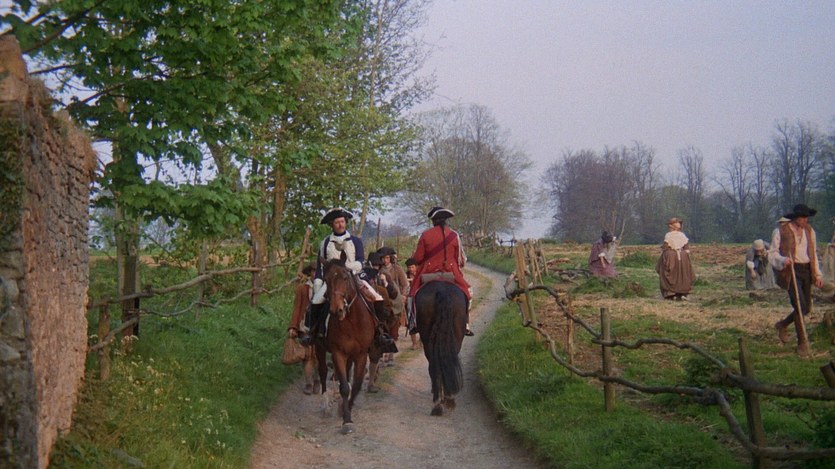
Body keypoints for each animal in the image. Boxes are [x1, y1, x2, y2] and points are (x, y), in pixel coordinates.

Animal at [313, 259, 376, 434]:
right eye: (326, 280)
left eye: (345, 277)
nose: (337, 310)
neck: (352, 322)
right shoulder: (338, 353)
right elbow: (344, 387)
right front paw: (347, 420)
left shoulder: (361, 354)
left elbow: (356, 385)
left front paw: (345, 409)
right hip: (319, 348)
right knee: (323, 371)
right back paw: (325, 404)